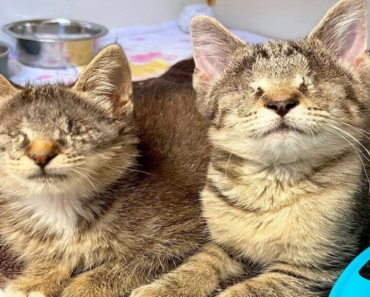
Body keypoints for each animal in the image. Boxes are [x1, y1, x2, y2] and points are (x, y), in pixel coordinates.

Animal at [0, 46, 210, 296]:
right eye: (16, 135)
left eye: (75, 130)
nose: (41, 155)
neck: (59, 205)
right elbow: (52, 255)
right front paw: (34, 281)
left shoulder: (184, 231)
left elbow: (127, 264)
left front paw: (82, 288)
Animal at [132, 0, 370, 294]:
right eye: (251, 88)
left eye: (309, 83)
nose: (281, 102)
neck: (271, 186)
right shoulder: (225, 245)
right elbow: (199, 263)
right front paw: (165, 287)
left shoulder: (312, 270)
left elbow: (246, 290)